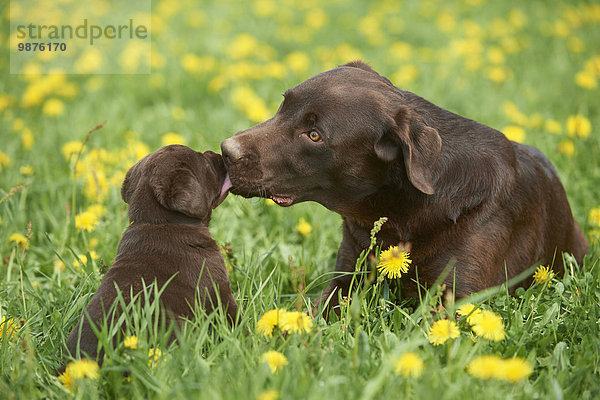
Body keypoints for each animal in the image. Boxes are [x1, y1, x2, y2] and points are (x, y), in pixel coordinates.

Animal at [220, 61, 584, 314]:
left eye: (314, 135)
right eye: (283, 105)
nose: (226, 150)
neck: (402, 213)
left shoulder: (455, 300)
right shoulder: (346, 279)